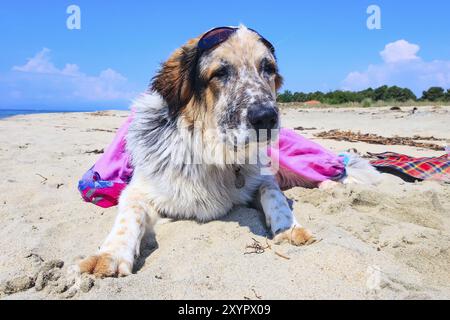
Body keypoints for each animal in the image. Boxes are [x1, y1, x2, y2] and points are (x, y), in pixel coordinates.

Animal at [78, 25, 316, 278]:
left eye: (268, 68)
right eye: (220, 73)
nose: (266, 117)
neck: (214, 154)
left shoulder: (260, 178)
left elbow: (272, 191)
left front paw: (289, 226)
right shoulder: (139, 190)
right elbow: (130, 214)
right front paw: (110, 254)